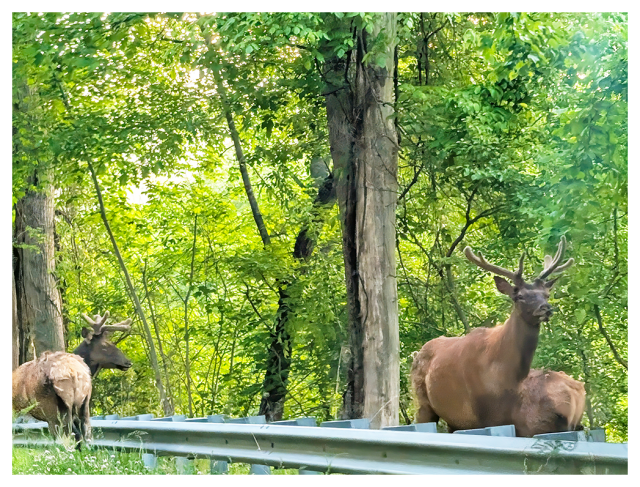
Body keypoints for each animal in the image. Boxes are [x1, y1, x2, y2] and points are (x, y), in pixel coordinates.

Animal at [410, 236, 577, 435]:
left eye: (546, 294)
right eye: (519, 296)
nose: (545, 308)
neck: (505, 374)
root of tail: (416, 354)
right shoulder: (480, 412)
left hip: (454, 419)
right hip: (423, 402)